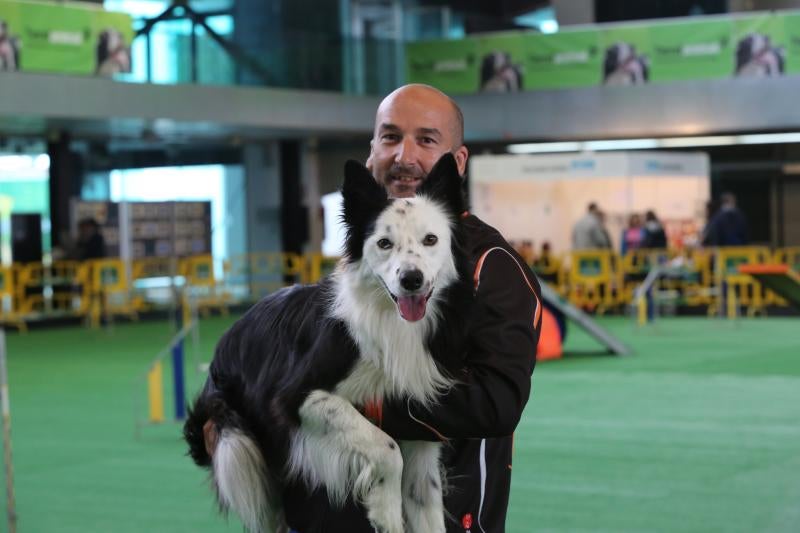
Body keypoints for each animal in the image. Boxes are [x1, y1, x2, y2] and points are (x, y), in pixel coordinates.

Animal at [184, 154, 472, 532]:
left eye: (430, 240)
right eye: (384, 243)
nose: (412, 279)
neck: (391, 321)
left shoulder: (423, 427)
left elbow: (426, 502)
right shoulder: (294, 396)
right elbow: (387, 448)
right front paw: (384, 510)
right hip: (242, 451)